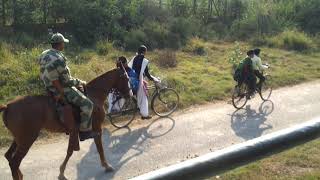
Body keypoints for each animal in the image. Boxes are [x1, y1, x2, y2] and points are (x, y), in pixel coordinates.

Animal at [0, 68, 132, 180]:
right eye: (126, 78)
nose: (130, 95)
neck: (94, 94)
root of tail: (8, 106)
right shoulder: (96, 128)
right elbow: (98, 148)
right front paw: (106, 165)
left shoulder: (76, 131)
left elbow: (70, 151)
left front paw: (61, 172)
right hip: (27, 139)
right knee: (14, 162)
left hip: (19, 139)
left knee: (9, 157)